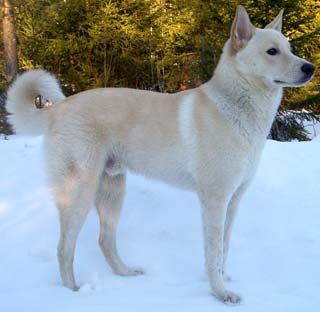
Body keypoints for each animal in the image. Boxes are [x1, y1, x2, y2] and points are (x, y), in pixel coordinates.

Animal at [5, 4, 316, 304]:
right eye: (272, 51)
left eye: (289, 48)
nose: (310, 68)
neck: (235, 106)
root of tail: (59, 108)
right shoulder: (215, 201)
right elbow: (213, 252)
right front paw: (219, 293)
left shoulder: (234, 200)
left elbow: (224, 249)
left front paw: (225, 281)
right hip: (79, 194)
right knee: (64, 248)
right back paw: (72, 292)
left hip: (112, 192)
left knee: (105, 241)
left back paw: (126, 273)